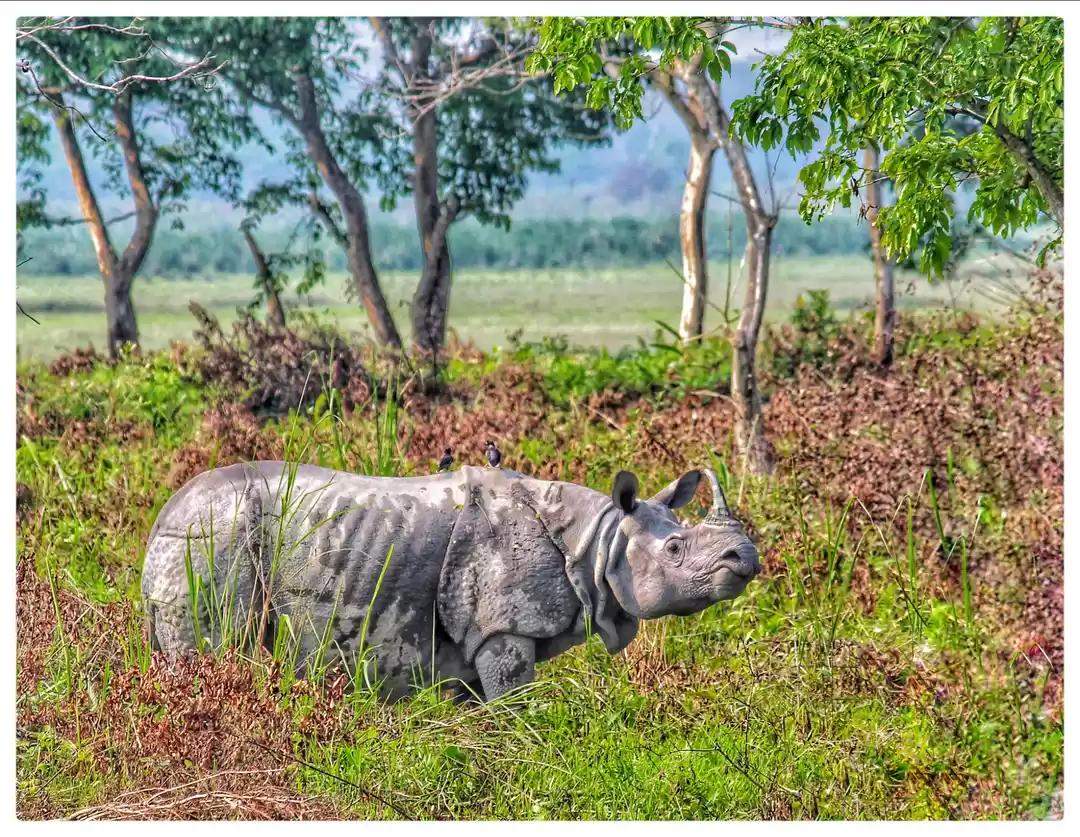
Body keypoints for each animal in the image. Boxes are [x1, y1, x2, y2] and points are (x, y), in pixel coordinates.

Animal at [141, 461, 761, 703]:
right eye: (675, 550)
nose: (747, 557)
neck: (600, 540)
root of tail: (160, 521)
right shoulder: (504, 627)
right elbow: (513, 707)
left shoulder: (472, 638)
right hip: (212, 539)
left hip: (199, 540)